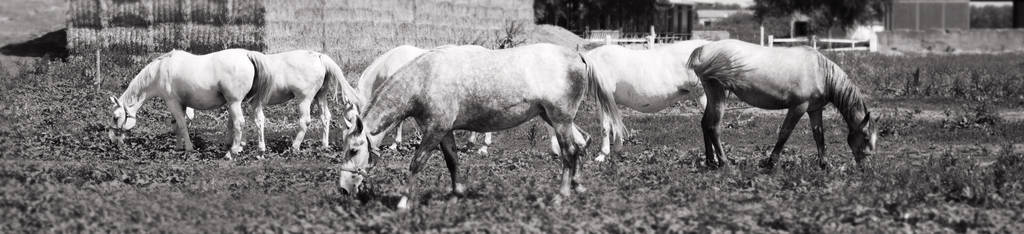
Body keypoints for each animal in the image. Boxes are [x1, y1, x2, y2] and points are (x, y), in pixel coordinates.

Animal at [335, 43, 622, 208]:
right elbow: (453, 162)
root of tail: (577, 55)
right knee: (580, 144)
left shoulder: (434, 130)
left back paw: (561, 195)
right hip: (556, 119)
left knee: (569, 153)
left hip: (560, 121)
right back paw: (578, 186)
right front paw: (456, 194)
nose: (343, 188)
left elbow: (416, 163)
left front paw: (405, 201)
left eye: (353, 150)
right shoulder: (445, 132)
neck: (425, 78)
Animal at [684, 38, 876, 169]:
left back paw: (710, 161)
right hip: (719, 94)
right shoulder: (798, 107)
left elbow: (819, 136)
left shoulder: (815, 110)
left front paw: (824, 165)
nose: (867, 168)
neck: (820, 72)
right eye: (866, 138)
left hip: (712, 96)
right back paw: (724, 163)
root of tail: (703, 49)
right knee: (713, 126)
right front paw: (771, 163)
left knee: (705, 123)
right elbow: (784, 133)